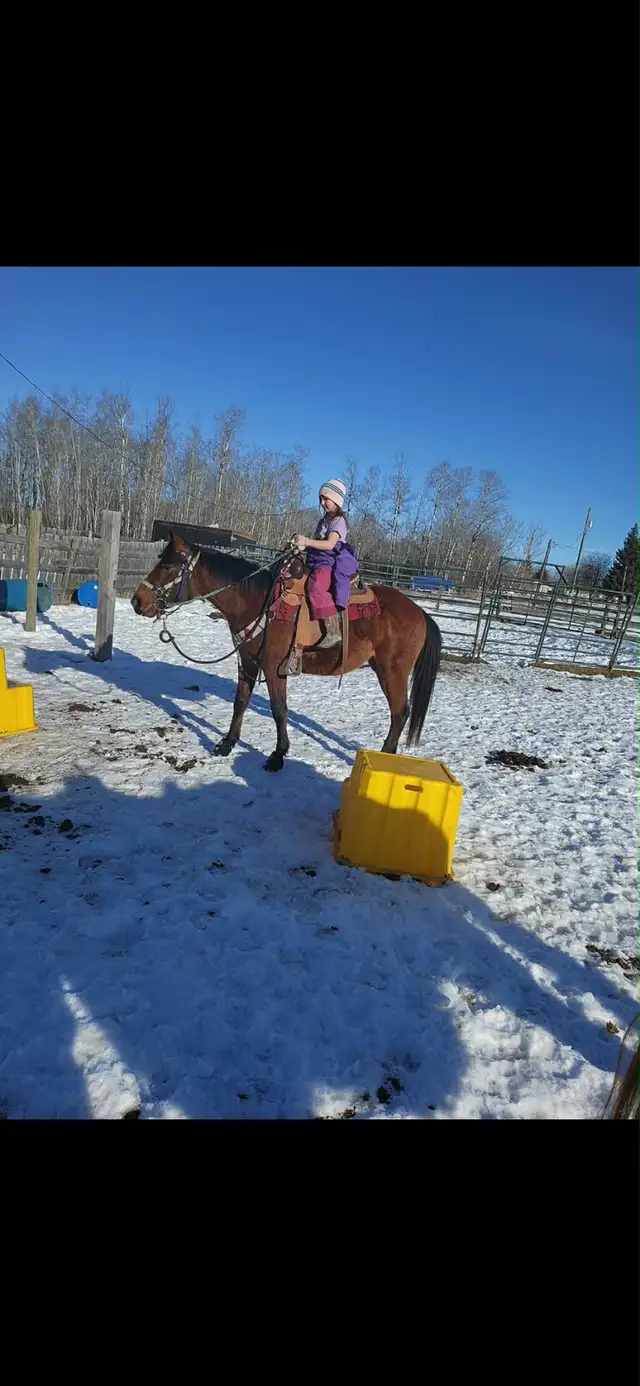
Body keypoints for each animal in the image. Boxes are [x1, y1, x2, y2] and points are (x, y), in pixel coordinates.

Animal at [132, 534, 442, 773]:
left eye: (168, 566)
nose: (137, 601)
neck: (258, 603)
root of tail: (419, 612)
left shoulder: (273, 667)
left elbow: (279, 709)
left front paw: (278, 755)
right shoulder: (247, 662)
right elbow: (240, 702)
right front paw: (227, 743)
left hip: (393, 672)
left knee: (400, 712)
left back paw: (385, 755)